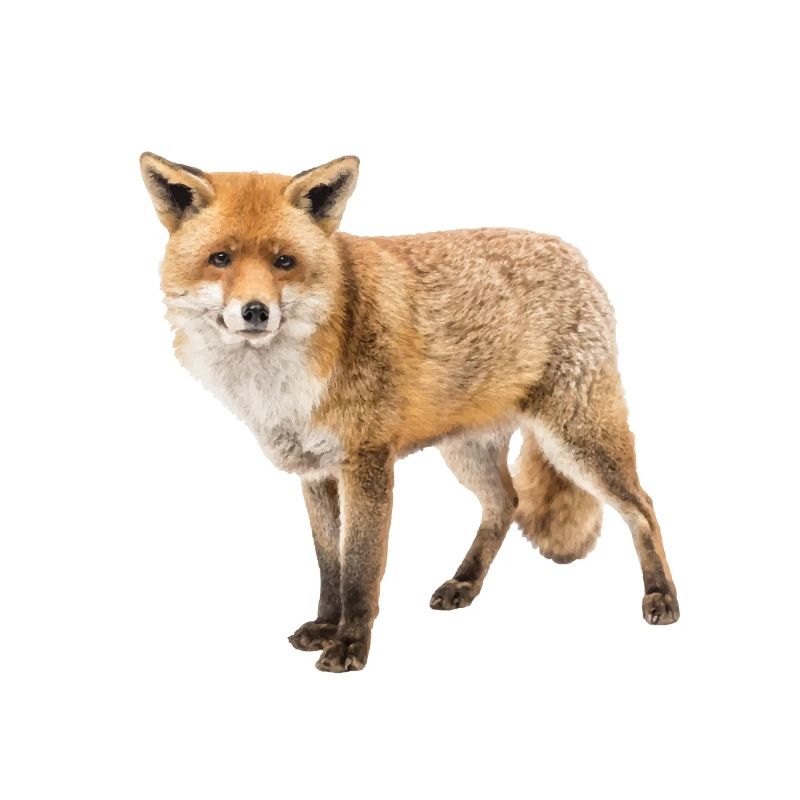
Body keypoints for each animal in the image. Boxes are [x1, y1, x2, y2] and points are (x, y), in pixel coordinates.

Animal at [140, 152, 679, 672]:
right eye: (220, 259)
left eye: (284, 262)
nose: (255, 311)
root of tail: (569, 249)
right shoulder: (315, 471)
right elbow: (329, 563)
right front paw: (325, 624)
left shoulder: (367, 460)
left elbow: (360, 566)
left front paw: (350, 645)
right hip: (468, 451)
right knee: (507, 504)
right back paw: (464, 583)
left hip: (576, 440)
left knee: (643, 507)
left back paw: (662, 596)